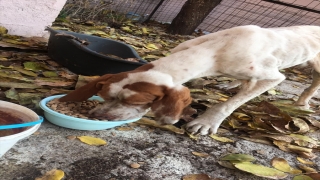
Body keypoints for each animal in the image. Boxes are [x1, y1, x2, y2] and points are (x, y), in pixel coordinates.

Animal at [59, 25, 320, 135]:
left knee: (314, 82)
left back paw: (303, 102)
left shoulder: (271, 77)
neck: (218, 48)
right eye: (105, 96)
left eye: (135, 102)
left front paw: (206, 121)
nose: (97, 116)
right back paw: (233, 84)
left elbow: (228, 105)